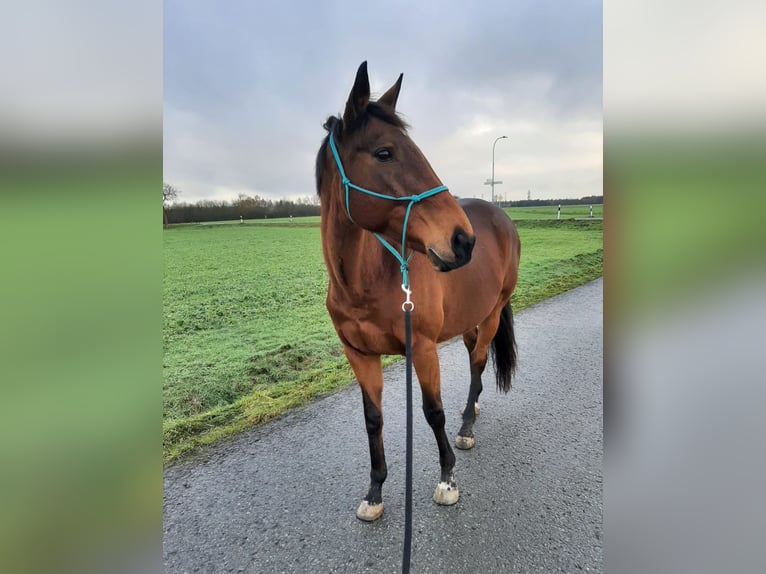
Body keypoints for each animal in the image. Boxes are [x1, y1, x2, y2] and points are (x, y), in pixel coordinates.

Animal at [314, 62, 520, 520]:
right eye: (384, 153)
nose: (462, 240)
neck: (368, 281)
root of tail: (499, 217)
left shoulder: (422, 348)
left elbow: (432, 412)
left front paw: (447, 478)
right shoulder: (359, 355)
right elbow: (373, 418)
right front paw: (375, 491)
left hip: (492, 312)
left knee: (478, 362)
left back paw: (466, 426)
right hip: (468, 318)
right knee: (475, 360)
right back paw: (472, 407)